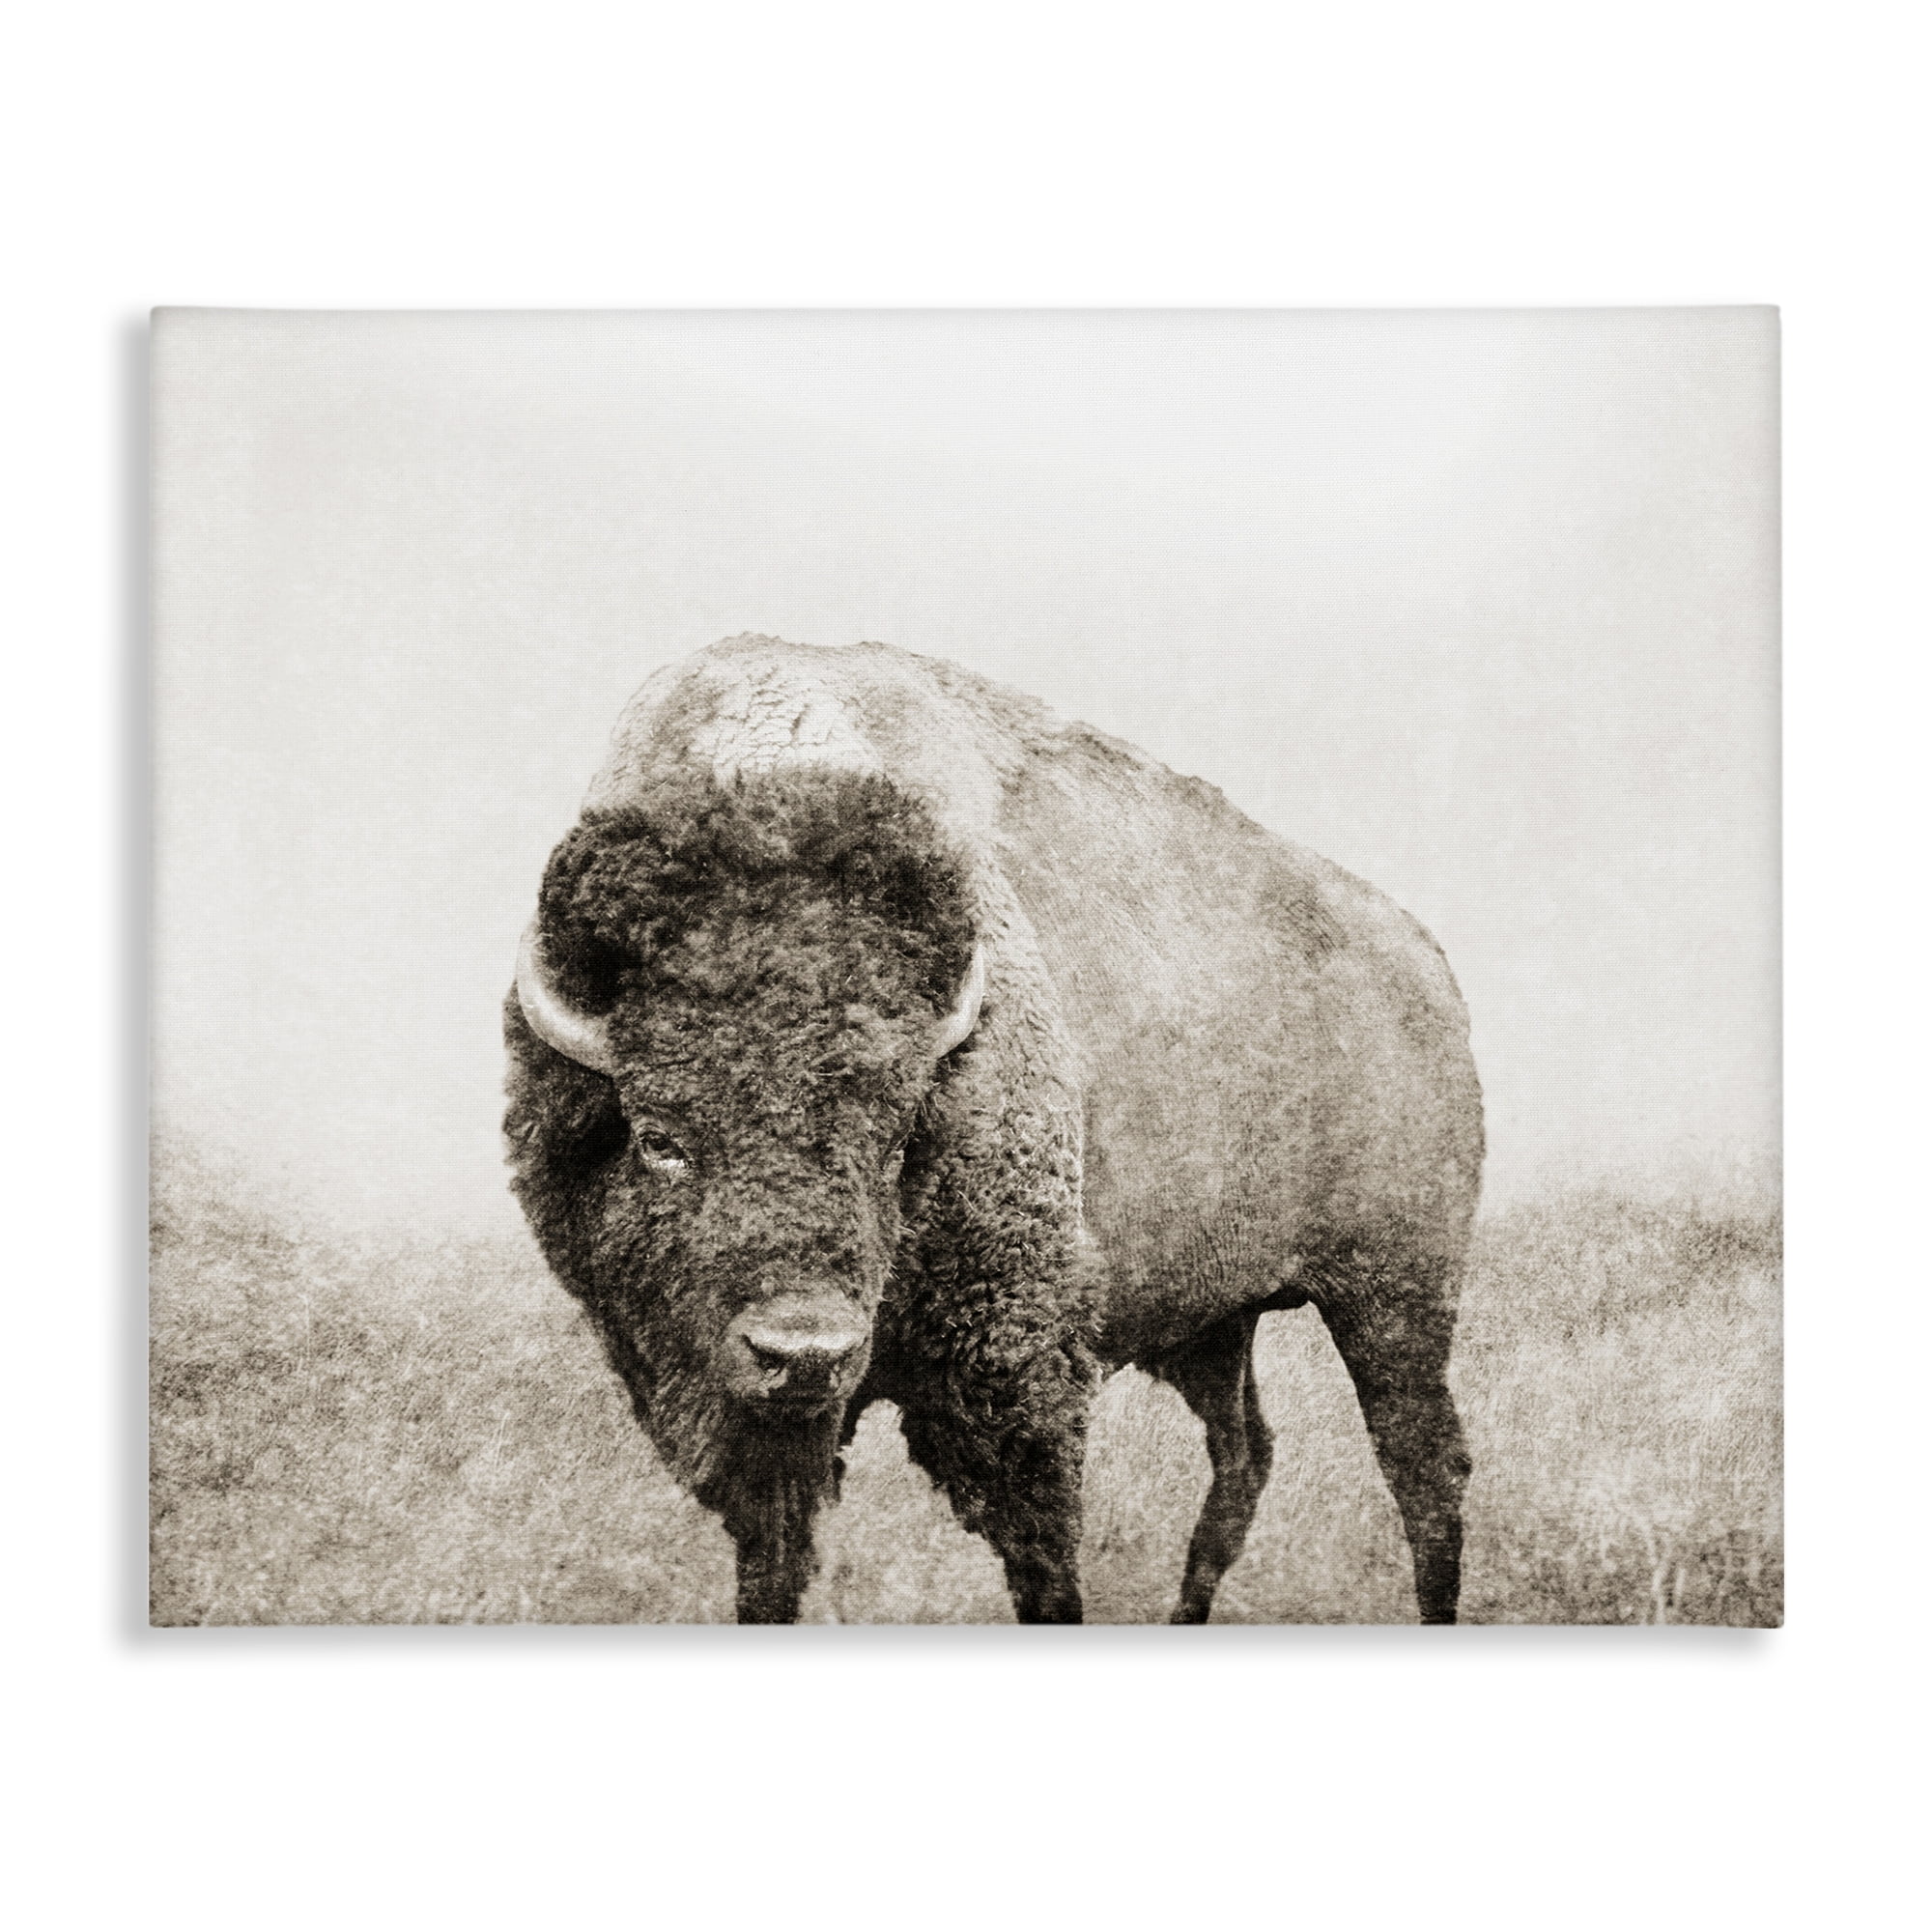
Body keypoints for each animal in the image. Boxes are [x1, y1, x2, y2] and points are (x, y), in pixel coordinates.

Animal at [505, 635, 1483, 1623]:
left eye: (897, 1140)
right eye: (658, 1138)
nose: (805, 1353)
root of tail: (1427, 962)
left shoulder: (1016, 1373)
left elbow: (1044, 1561)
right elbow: (771, 1567)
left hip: (1394, 1295)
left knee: (1425, 1468)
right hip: (1219, 1322)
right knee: (1245, 1455)